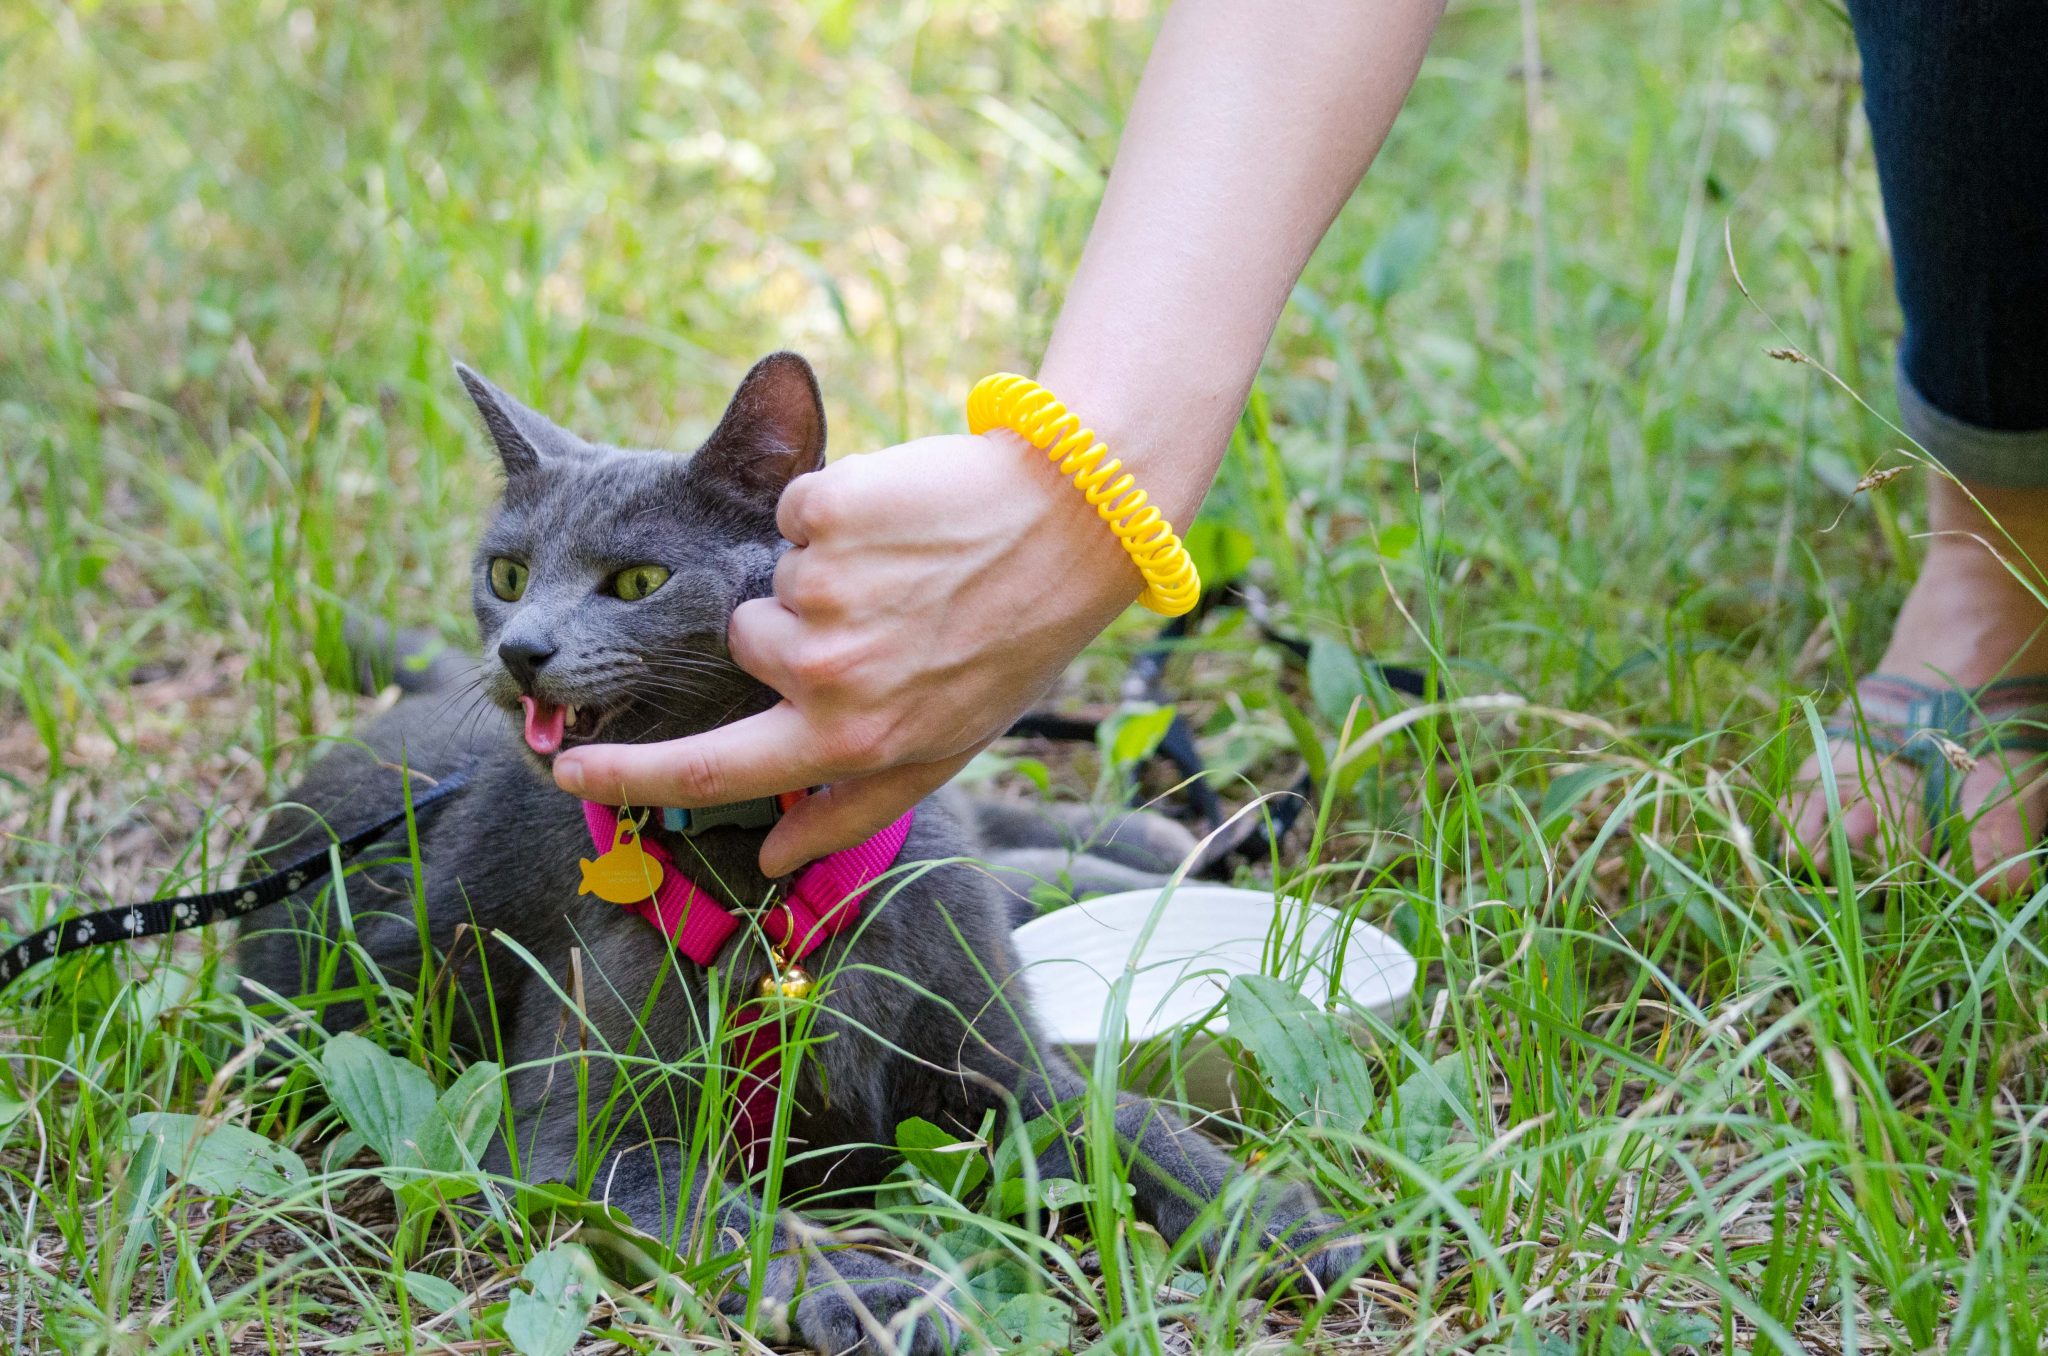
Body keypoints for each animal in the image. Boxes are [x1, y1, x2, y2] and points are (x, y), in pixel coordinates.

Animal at [235, 356, 1359, 1351]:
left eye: (638, 579)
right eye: (506, 574)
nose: (520, 651)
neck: (760, 861)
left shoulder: (1000, 1061)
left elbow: (1128, 1118)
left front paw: (1273, 1220)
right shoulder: (587, 1141)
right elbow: (742, 1221)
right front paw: (877, 1296)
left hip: (936, 868)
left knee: (989, 836)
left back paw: (1173, 839)